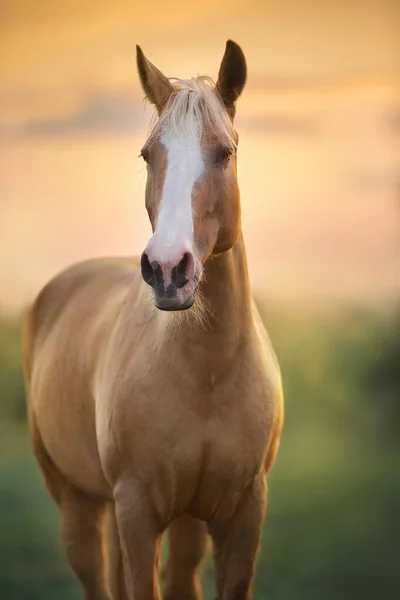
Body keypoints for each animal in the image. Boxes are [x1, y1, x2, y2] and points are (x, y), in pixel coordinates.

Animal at [22, 41, 284, 600]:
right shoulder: (138, 515)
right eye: (148, 154)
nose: (167, 268)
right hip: (78, 503)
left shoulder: (243, 516)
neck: (207, 375)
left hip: (184, 523)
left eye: (224, 152)